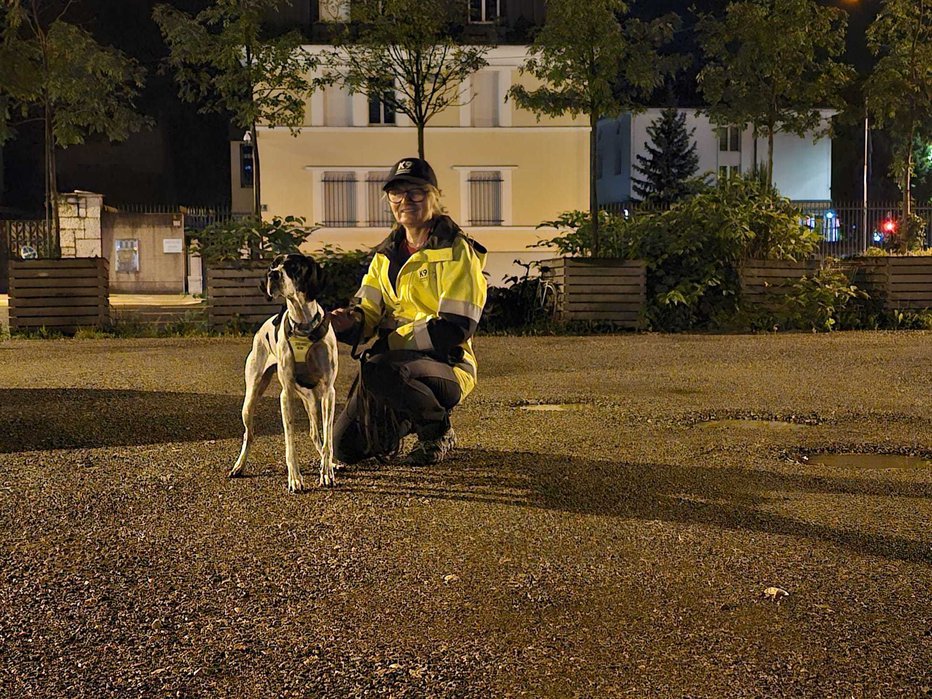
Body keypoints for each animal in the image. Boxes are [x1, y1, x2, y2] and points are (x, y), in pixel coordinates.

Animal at [228, 254, 338, 490]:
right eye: (273, 265)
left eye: (294, 267)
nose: (272, 275)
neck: (303, 324)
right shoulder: (286, 395)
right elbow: (290, 443)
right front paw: (295, 478)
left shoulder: (329, 393)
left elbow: (328, 440)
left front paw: (327, 472)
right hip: (250, 401)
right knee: (248, 435)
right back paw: (239, 466)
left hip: (312, 400)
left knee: (315, 433)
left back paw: (332, 463)